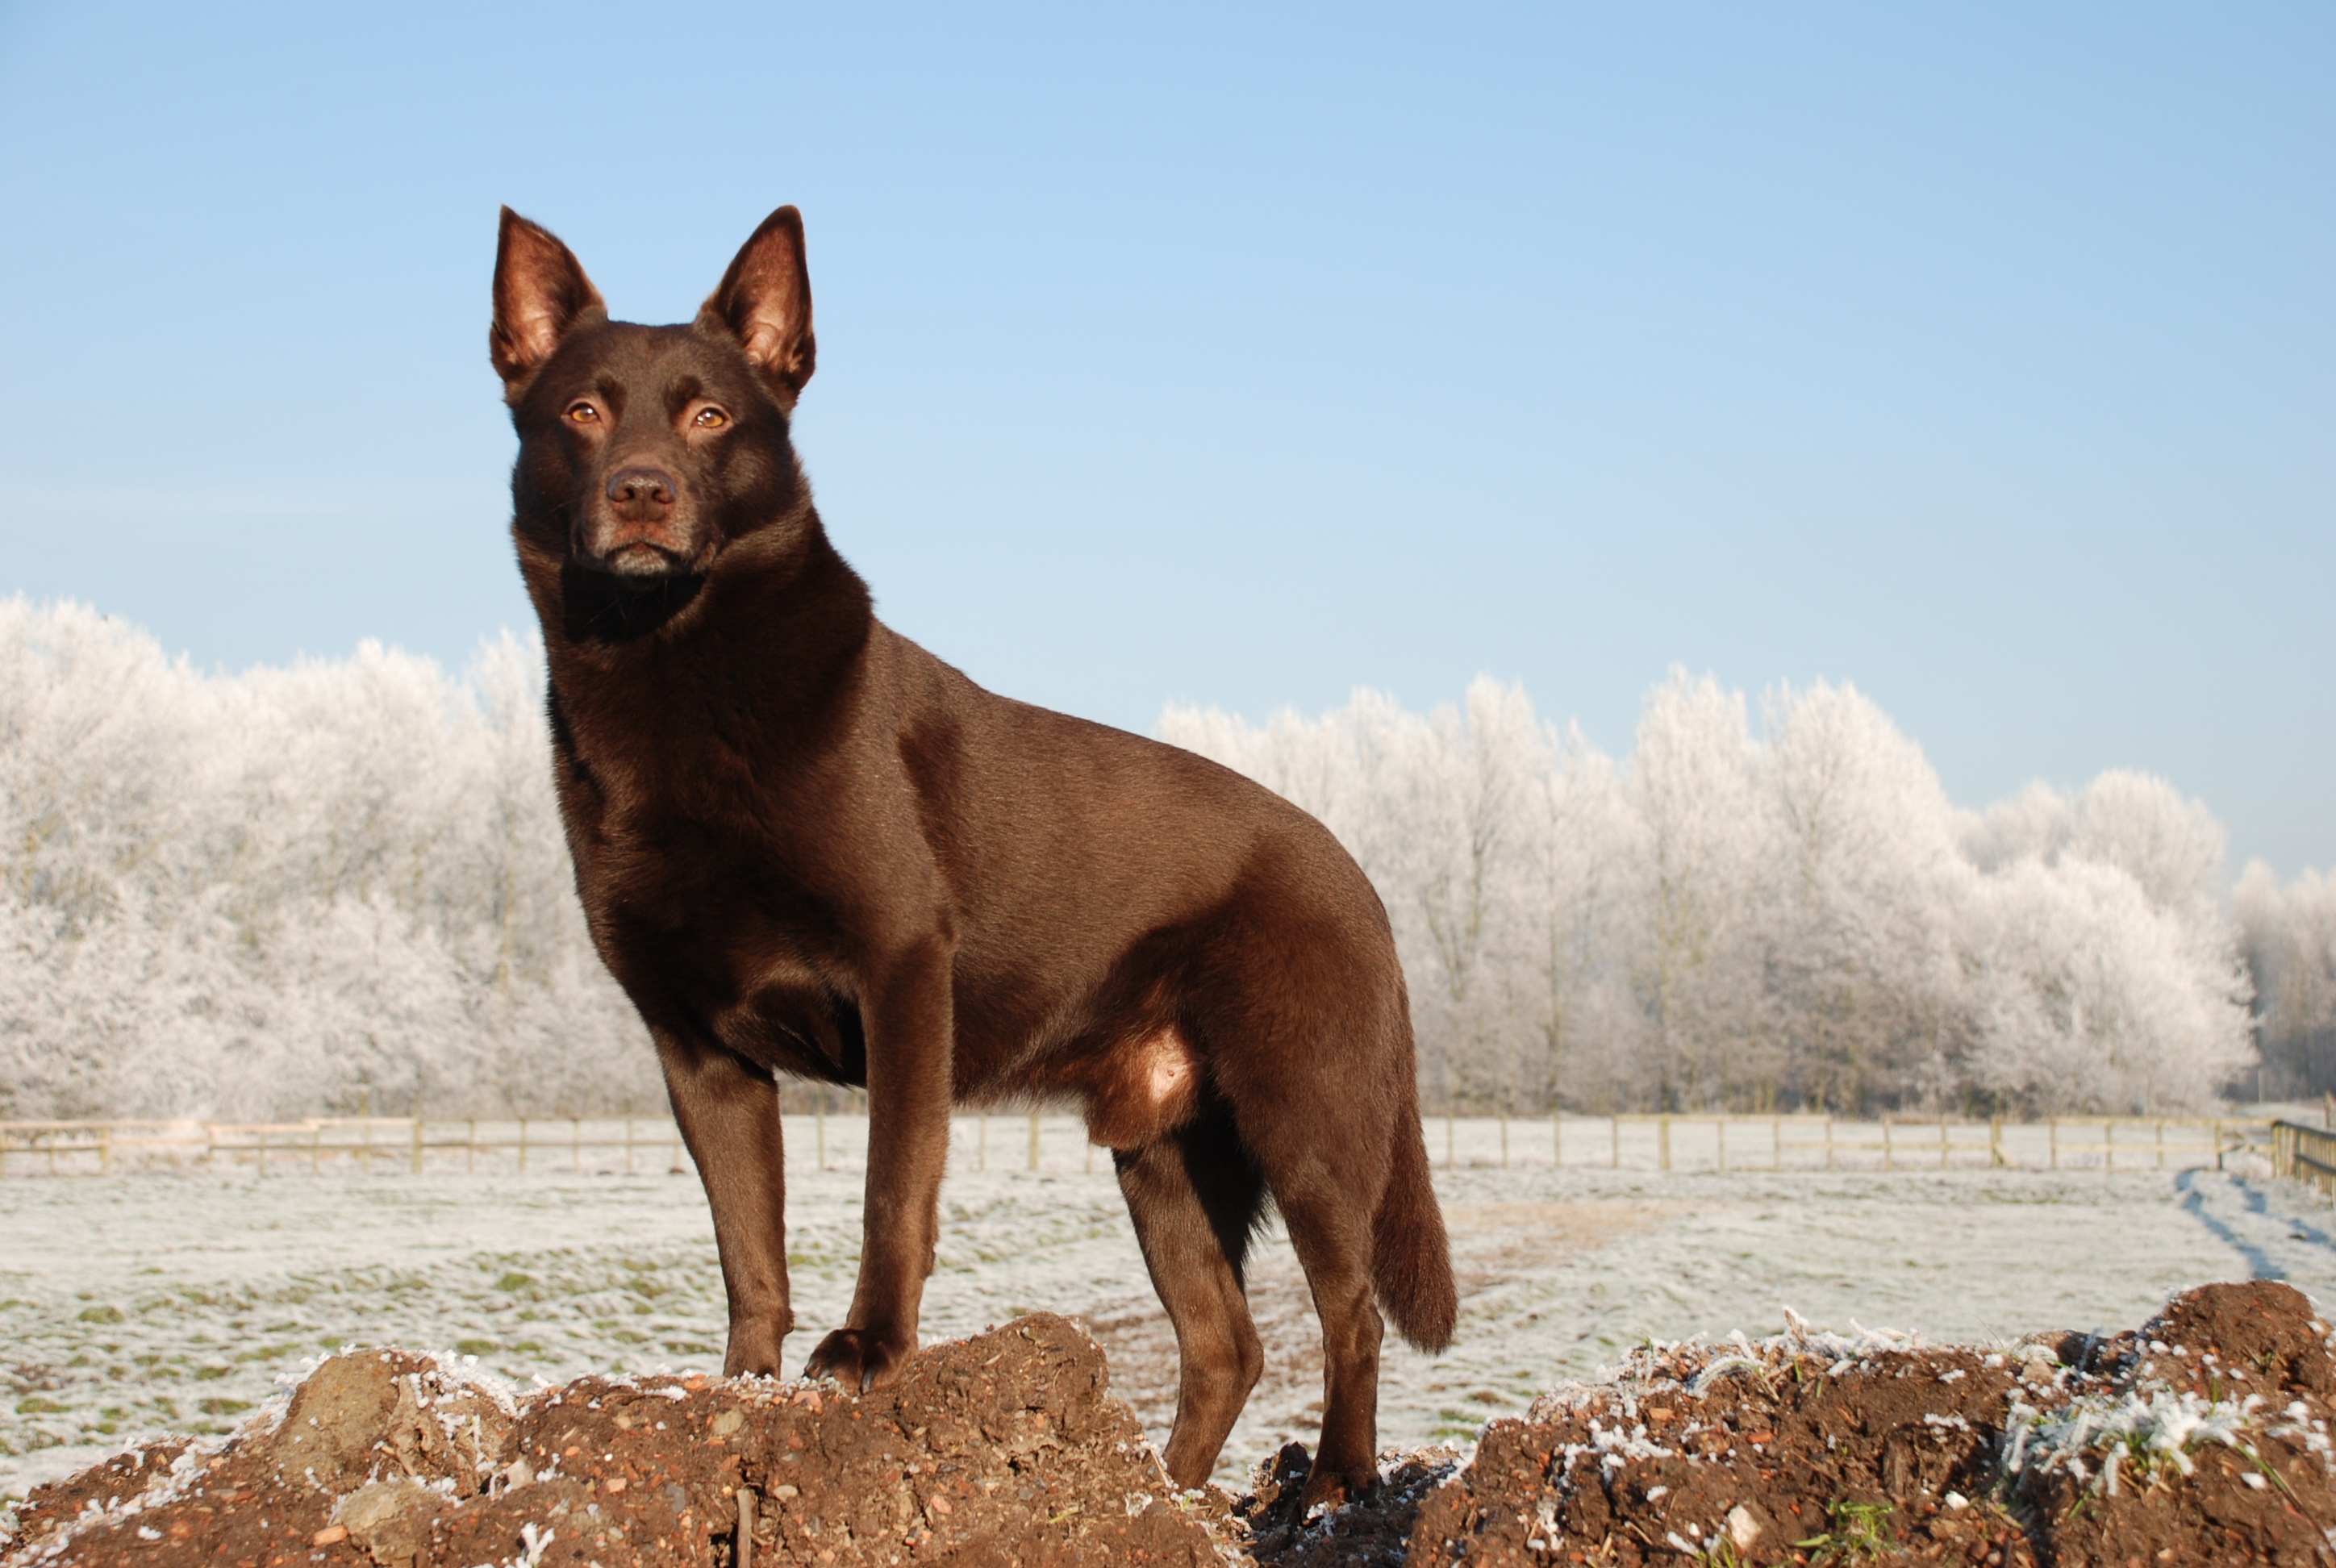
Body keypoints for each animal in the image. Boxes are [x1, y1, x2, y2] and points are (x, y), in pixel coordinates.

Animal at [486, 202, 1448, 1504]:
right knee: (1228, 1346)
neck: (671, 673)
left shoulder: (901, 971)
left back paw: (1336, 1483)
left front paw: (869, 1351)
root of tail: (1357, 875)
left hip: (1307, 1120)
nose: (641, 492)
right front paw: (741, 1390)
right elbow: (748, 1245)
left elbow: (893, 1185)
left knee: (1348, 1314)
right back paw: (1158, 1497)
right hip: (1162, 1154)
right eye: (582, 412)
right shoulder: (696, 1046)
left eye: (710, 417)